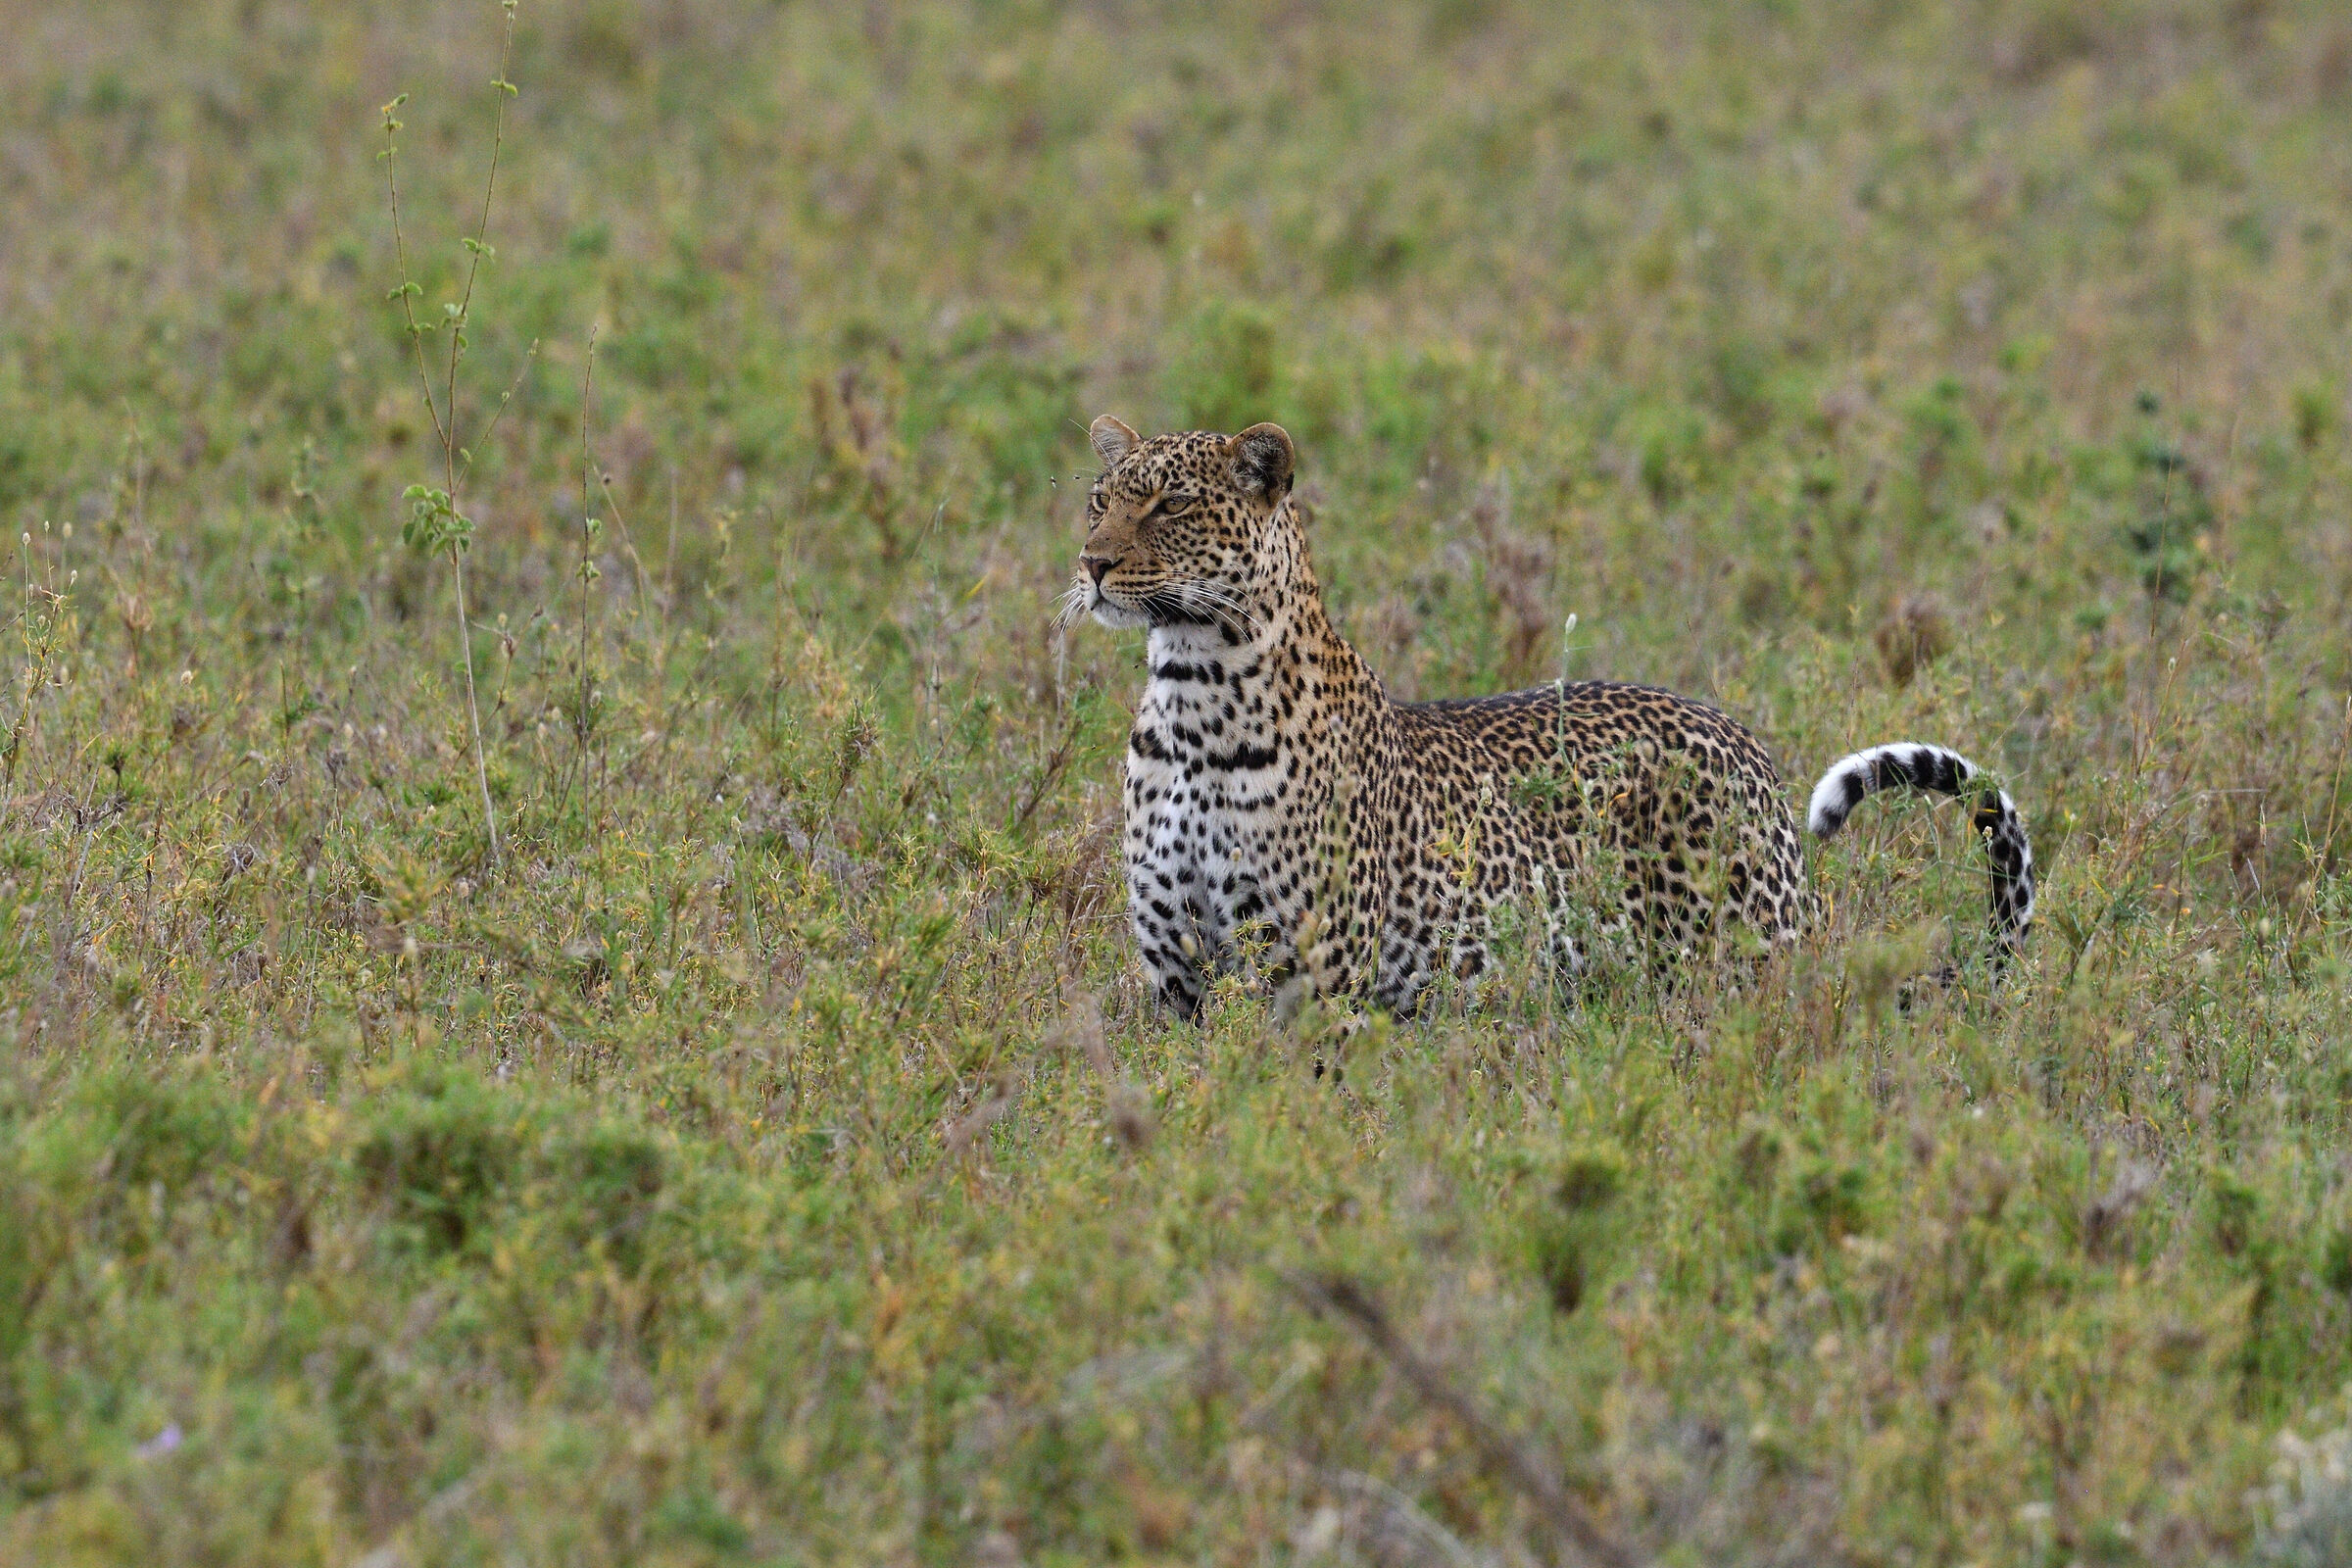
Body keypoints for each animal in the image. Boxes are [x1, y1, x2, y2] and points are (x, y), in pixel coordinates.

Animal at [1063, 414, 2035, 1020]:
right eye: (1099, 500)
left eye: (1172, 504)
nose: (1093, 562)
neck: (1192, 700)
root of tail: (1745, 745)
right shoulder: (1177, 982)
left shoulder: (1316, 978)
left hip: (1743, 960)